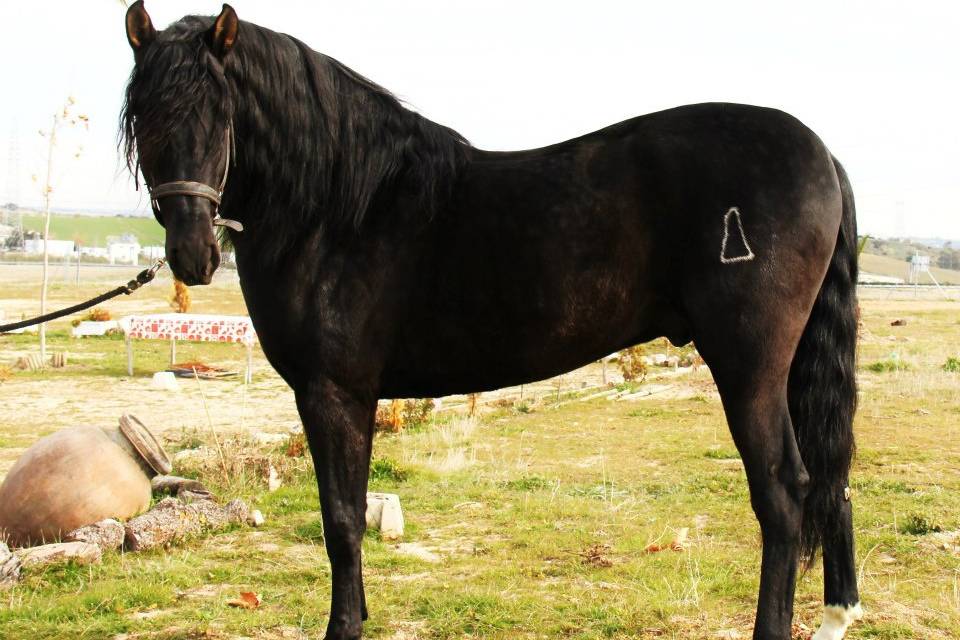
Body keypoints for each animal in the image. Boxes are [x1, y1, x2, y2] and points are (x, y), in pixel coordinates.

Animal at [121, 3, 861, 639]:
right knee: (830, 476)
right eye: (143, 117)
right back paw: (837, 614)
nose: (192, 252)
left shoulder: (333, 393)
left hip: (749, 367)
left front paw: (344, 626)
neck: (339, 210)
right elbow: (350, 512)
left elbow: (341, 518)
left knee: (783, 492)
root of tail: (822, 152)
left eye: (219, 113)